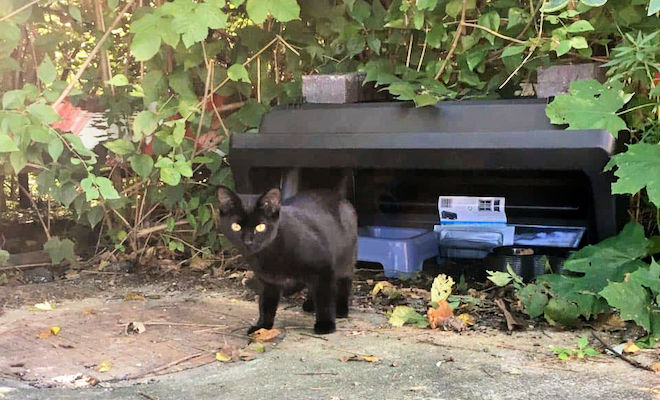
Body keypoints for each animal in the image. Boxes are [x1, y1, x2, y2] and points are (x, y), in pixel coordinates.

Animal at [218, 181, 358, 334]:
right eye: (236, 226)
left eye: (260, 227)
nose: (248, 241)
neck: (270, 253)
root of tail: (337, 194)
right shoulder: (268, 281)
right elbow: (266, 305)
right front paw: (262, 327)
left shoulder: (324, 266)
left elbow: (324, 297)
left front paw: (325, 324)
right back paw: (310, 304)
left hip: (345, 259)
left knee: (344, 281)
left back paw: (341, 309)